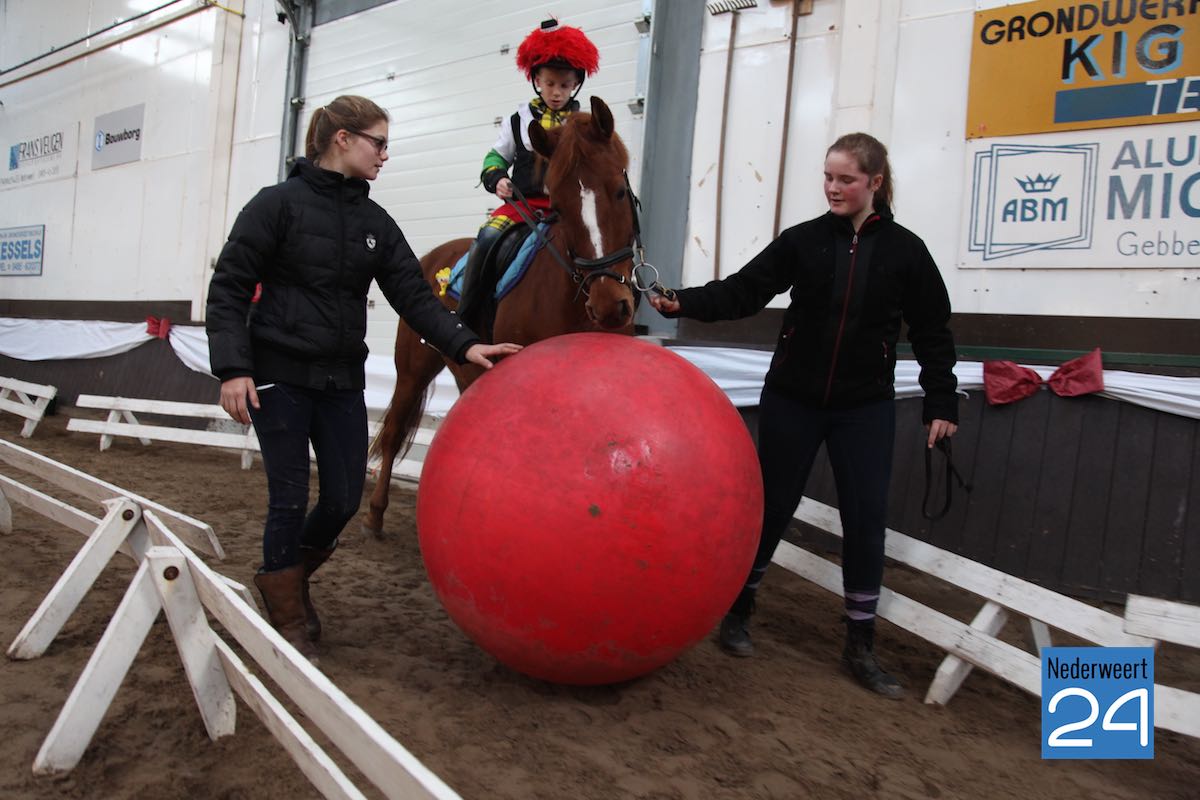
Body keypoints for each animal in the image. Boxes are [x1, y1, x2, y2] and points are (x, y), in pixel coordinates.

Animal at [363, 96, 641, 535]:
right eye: (558, 207)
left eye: (618, 190)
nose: (609, 306)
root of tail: (431, 257)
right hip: (411, 370)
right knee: (392, 434)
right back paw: (375, 514)